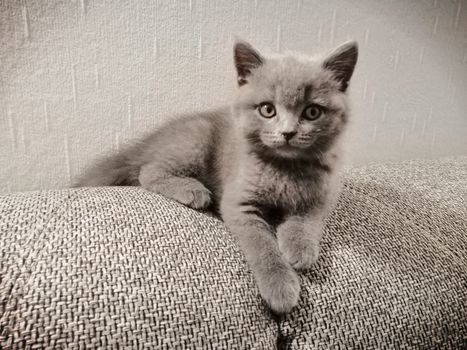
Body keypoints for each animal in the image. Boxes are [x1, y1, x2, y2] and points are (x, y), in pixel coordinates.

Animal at [78, 41, 360, 314]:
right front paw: (280, 287)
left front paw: (300, 248)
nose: (288, 133)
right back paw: (193, 191)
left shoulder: (321, 197)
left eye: (312, 112)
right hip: (196, 139)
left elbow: (307, 222)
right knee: (148, 171)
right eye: (267, 110)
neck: (285, 167)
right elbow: (261, 244)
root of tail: (152, 139)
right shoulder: (239, 202)